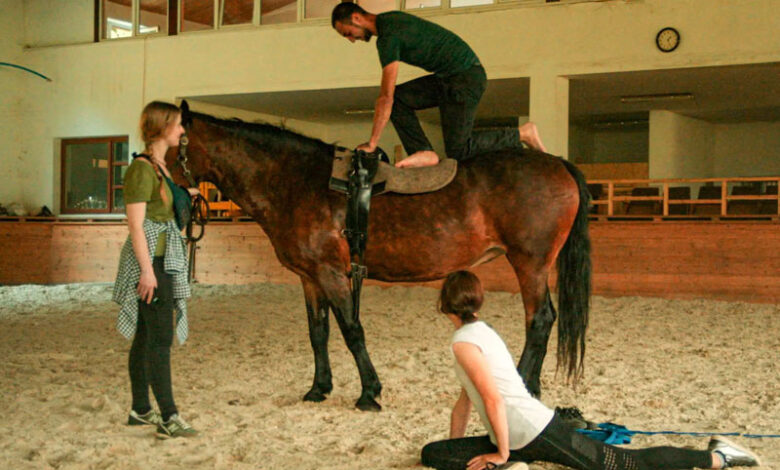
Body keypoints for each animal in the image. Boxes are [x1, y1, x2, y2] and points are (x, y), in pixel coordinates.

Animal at [168, 100, 591, 411]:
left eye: (172, 142)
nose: (159, 180)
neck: (297, 180)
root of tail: (557, 163)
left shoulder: (332, 273)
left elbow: (352, 330)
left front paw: (369, 392)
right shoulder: (309, 277)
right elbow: (318, 332)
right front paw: (319, 388)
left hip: (530, 263)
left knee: (539, 320)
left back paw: (525, 387)